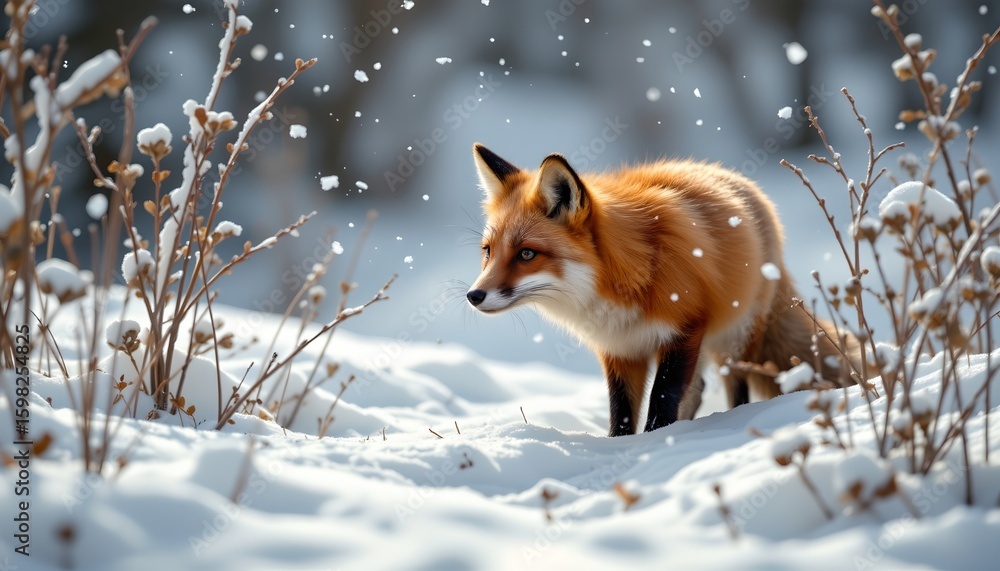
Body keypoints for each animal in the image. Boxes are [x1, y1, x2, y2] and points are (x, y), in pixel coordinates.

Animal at [466, 143, 858, 437]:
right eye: (488, 252)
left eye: (526, 254)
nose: (474, 296)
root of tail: (744, 185)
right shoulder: (620, 349)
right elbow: (622, 412)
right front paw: (620, 447)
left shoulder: (684, 329)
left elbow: (663, 397)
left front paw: (657, 440)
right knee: (698, 391)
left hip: (734, 336)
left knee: (736, 385)